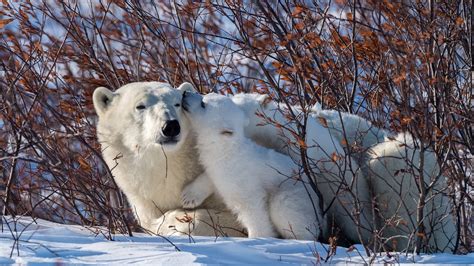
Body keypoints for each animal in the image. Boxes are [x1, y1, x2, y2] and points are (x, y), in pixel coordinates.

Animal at [181, 92, 326, 240]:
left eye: (203, 104)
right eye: (206, 95)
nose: (185, 94)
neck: (227, 151)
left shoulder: (243, 178)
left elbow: (251, 208)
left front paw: (258, 237)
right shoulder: (218, 170)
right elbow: (210, 177)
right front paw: (187, 197)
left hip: (293, 191)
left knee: (285, 210)